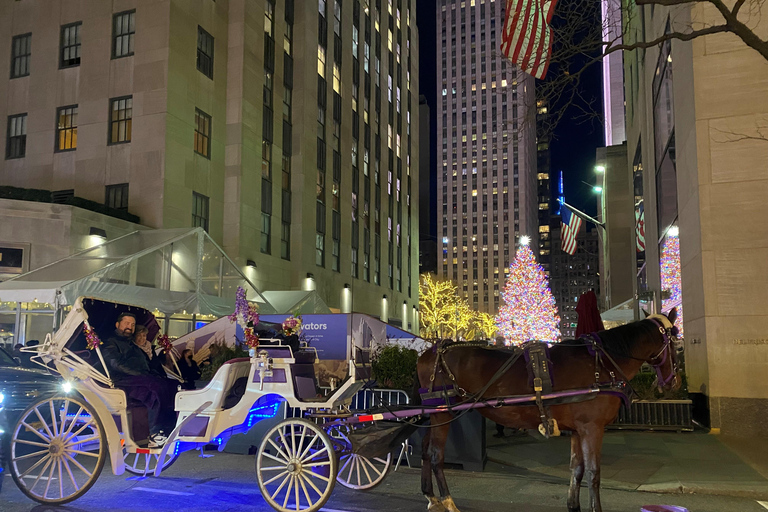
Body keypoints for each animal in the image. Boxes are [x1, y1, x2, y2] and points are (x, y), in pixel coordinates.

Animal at [416, 308, 680, 512]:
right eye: (676, 341)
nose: (673, 382)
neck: (602, 364)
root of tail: (430, 352)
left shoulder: (578, 430)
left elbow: (577, 469)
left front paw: (573, 505)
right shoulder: (592, 428)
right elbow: (594, 473)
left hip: (435, 415)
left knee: (425, 450)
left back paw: (431, 496)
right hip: (443, 411)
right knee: (436, 454)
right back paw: (447, 501)